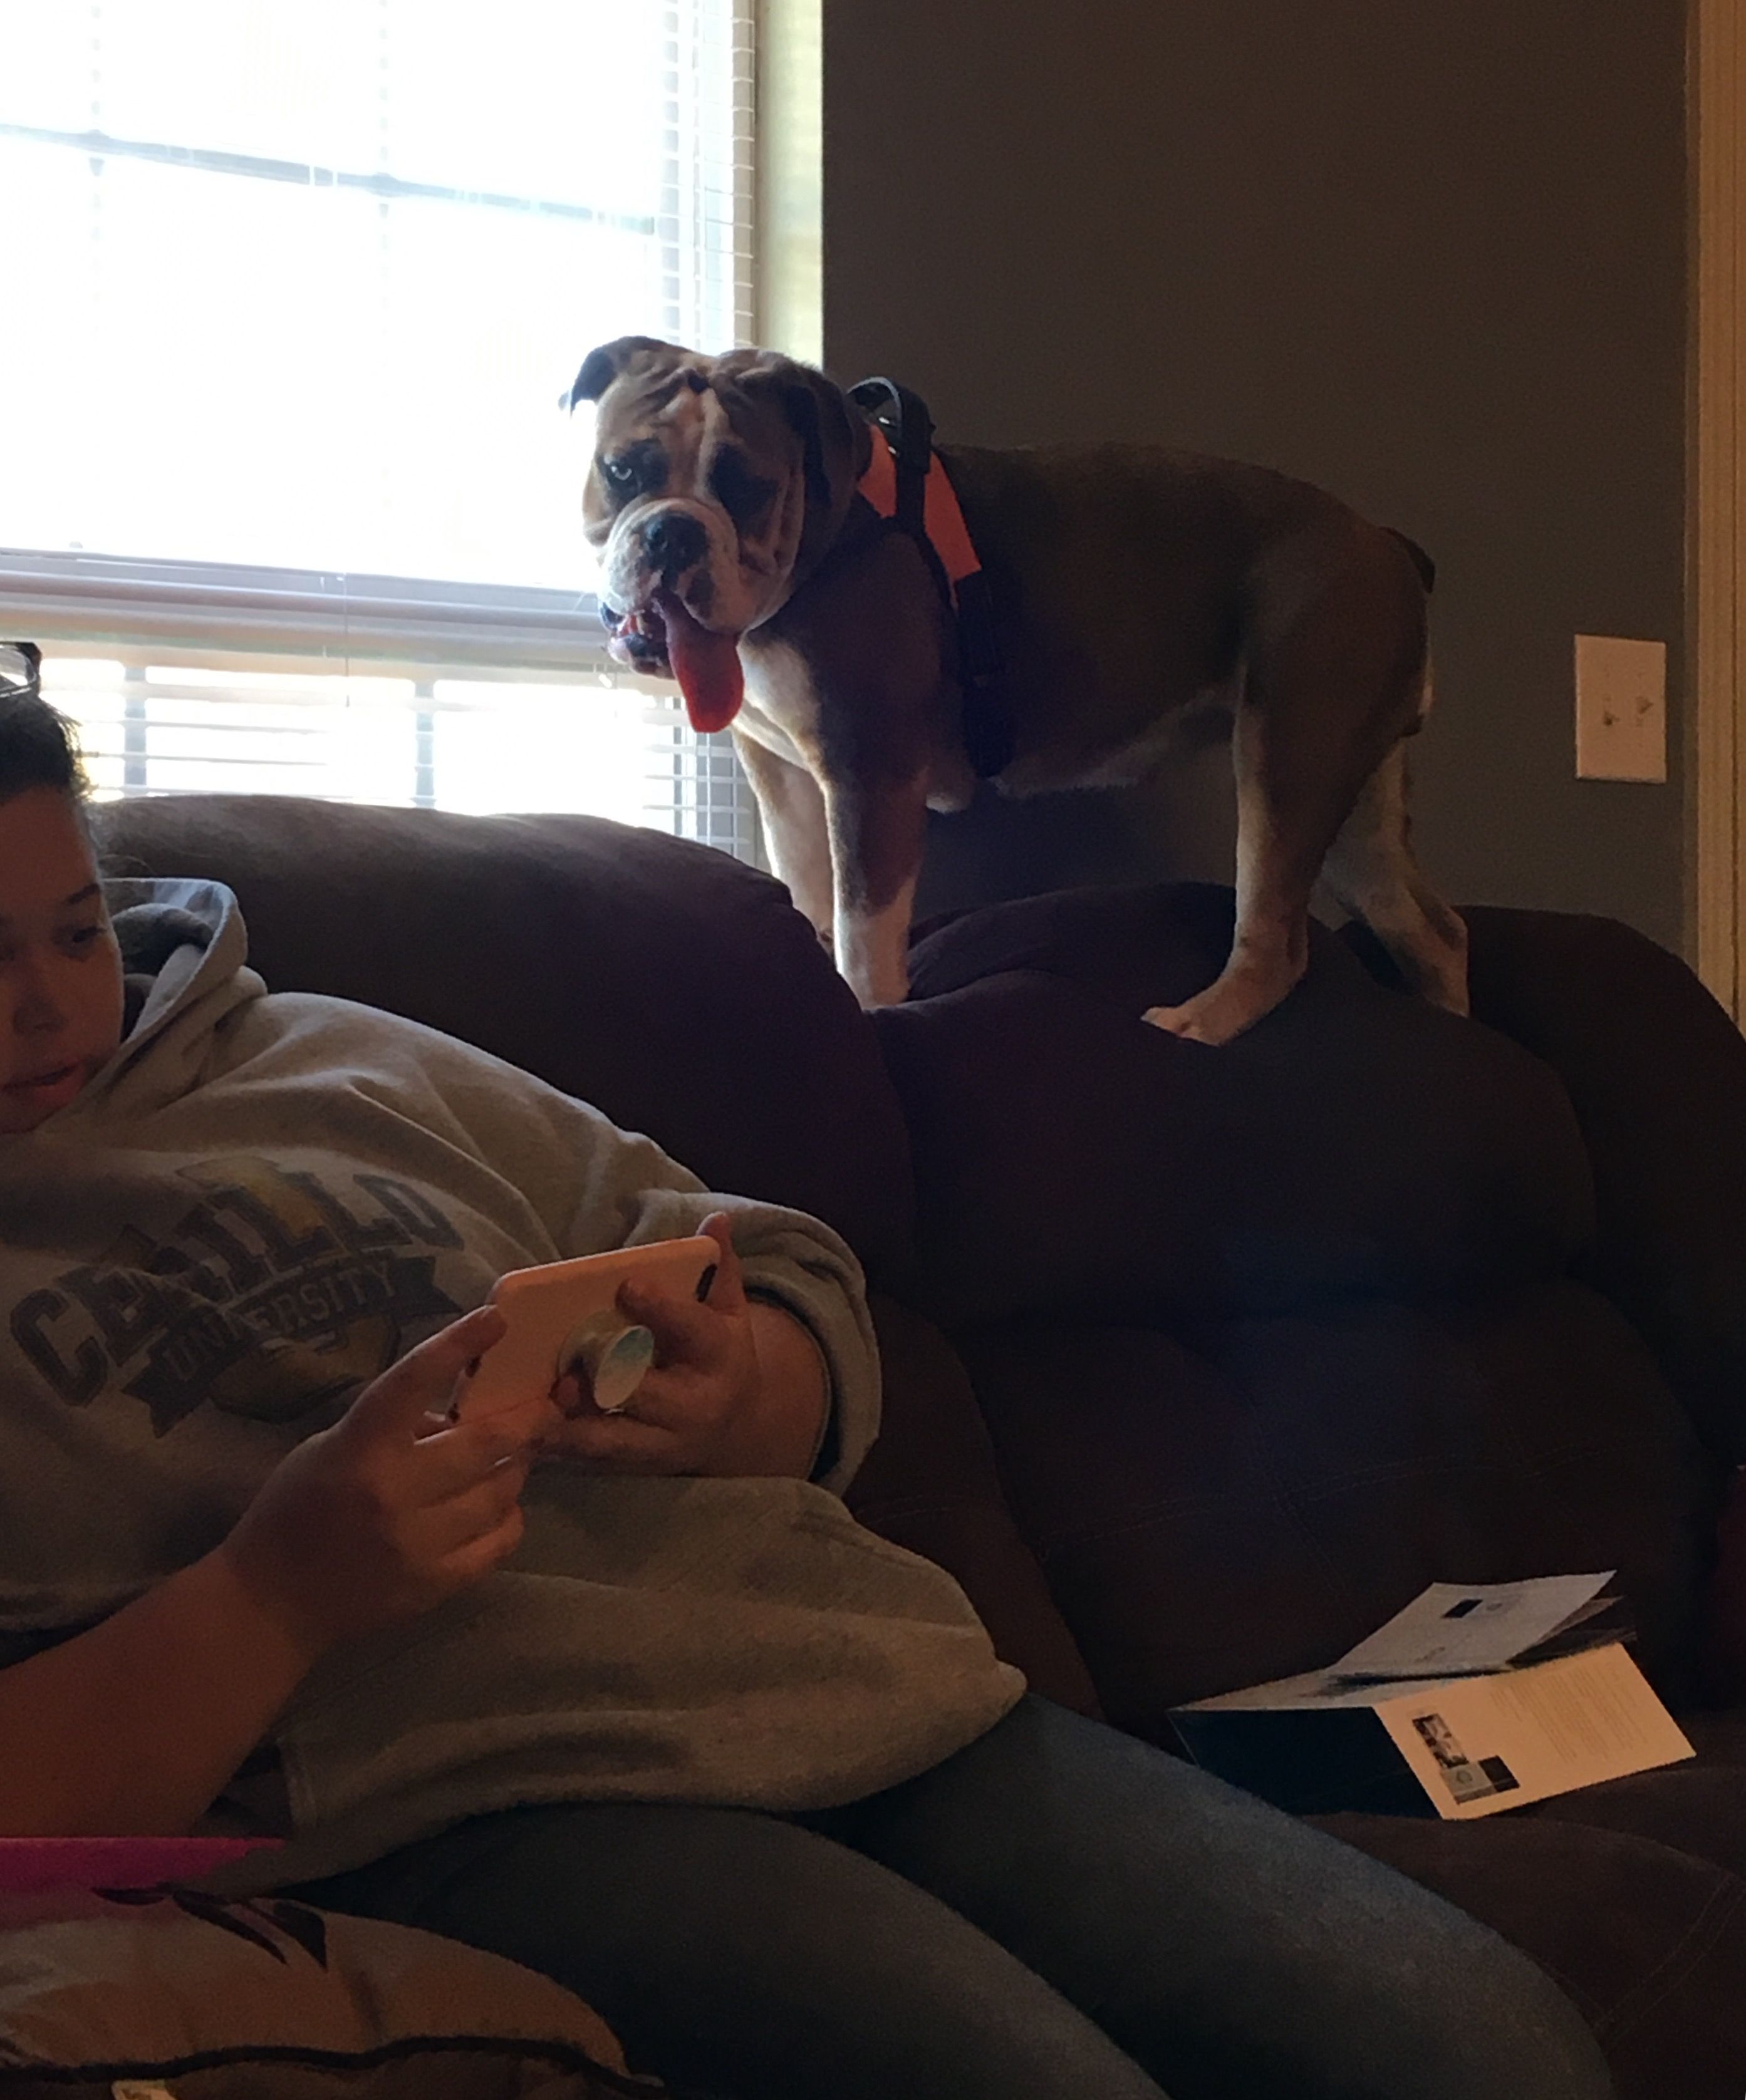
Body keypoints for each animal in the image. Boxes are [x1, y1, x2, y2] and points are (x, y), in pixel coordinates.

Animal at [565, 336, 1468, 1045]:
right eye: (622, 471)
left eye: (746, 488)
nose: (671, 530)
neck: (823, 535)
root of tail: (1385, 544)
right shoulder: (783, 776)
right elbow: (813, 893)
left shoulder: (869, 775)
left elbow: (864, 928)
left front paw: (868, 1007)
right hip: (1350, 791)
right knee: (1432, 929)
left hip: (1289, 761)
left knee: (1275, 939)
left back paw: (1196, 1023)